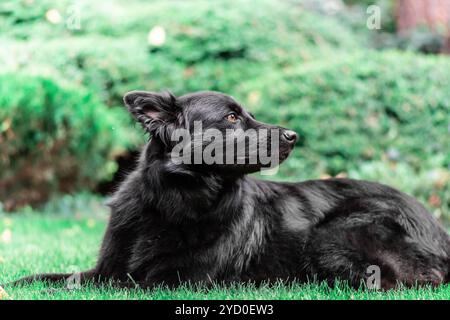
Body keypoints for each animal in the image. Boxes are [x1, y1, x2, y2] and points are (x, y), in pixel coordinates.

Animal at [10, 90, 450, 290]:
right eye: (232, 117)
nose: (294, 136)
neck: (175, 201)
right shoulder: (106, 268)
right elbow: (58, 277)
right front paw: (16, 285)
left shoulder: (173, 281)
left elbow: (121, 284)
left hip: (332, 236)